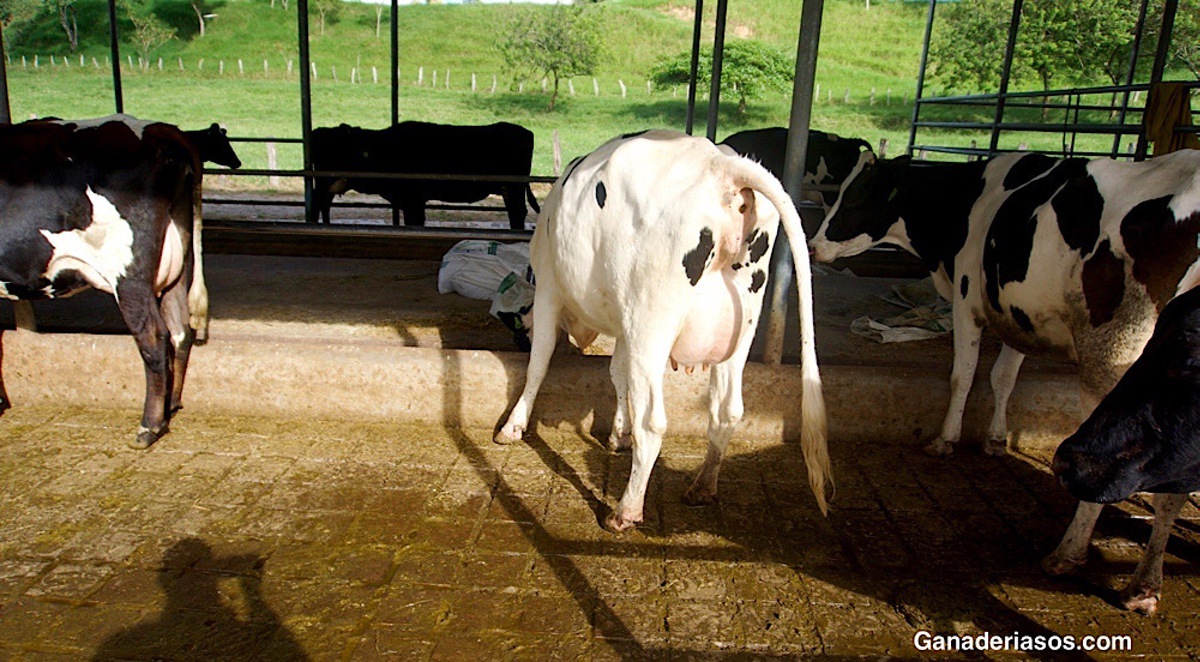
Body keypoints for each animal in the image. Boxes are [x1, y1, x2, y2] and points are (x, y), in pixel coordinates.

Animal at [0, 116, 203, 449]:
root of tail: (155, 128)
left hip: (128, 274)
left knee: (154, 337)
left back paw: (149, 427)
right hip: (177, 264)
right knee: (180, 331)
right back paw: (170, 406)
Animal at [495, 130, 831, 532]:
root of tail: (720, 164)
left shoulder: (550, 289)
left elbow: (539, 362)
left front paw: (513, 426)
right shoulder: (624, 320)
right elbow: (618, 374)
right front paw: (619, 433)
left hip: (652, 320)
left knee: (653, 423)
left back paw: (625, 511)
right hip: (741, 325)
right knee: (727, 411)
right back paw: (702, 487)